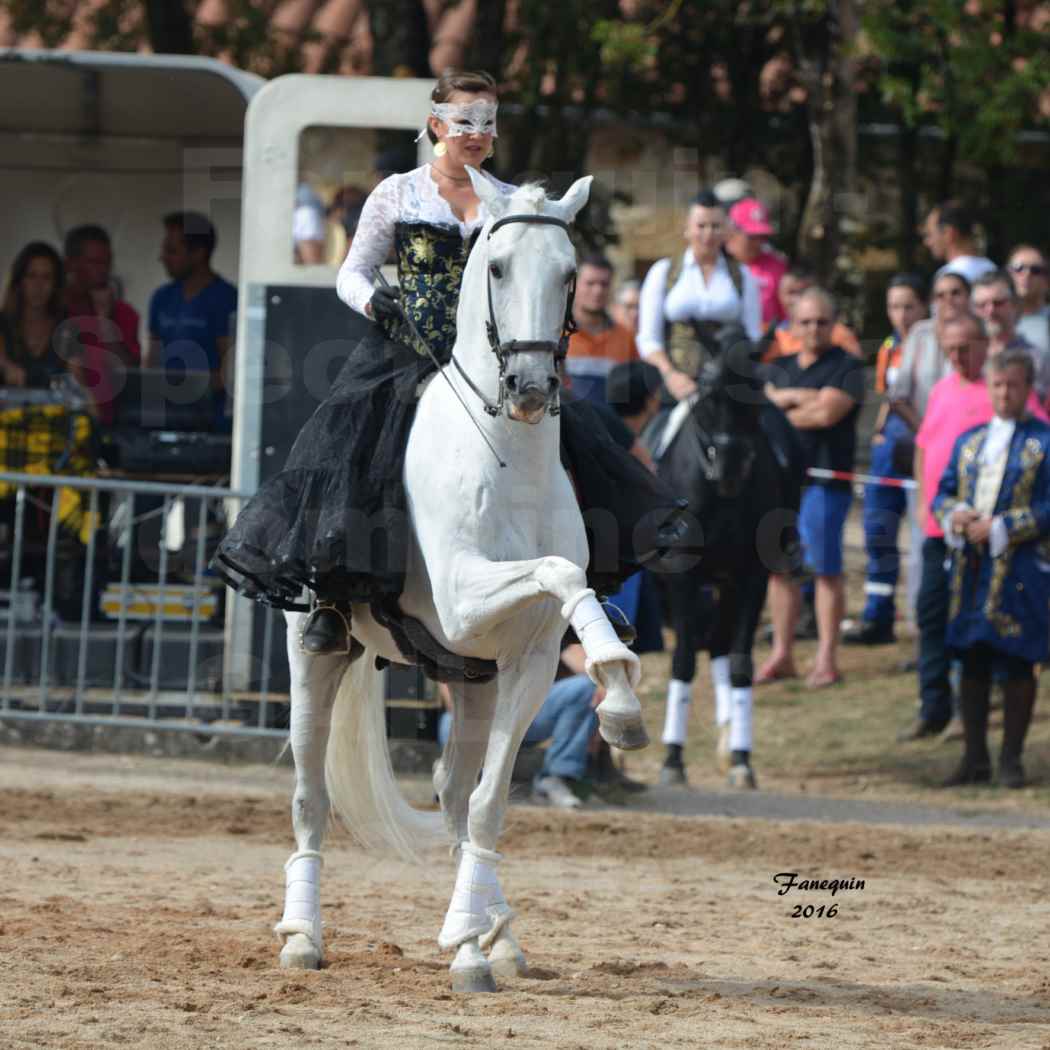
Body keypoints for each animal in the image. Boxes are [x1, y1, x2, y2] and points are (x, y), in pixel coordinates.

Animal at [273, 172, 646, 991]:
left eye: (569, 274)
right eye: (497, 267)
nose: (530, 385)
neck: (508, 459)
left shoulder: (525, 660)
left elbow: (487, 805)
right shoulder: (462, 598)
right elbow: (559, 570)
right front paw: (617, 682)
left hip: (472, 678)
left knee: (452, 796)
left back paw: (486, 935)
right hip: (316, 656)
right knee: (310, 797)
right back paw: (303, 937)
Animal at [646, 331, 802, 785]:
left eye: (758, 390)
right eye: (708, 391)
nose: (730, 468)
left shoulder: (751, 577)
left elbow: (740, 664)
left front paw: (741, 759)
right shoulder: (681, 575)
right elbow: (682, 661)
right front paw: (672, 760)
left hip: (727, 581)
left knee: (718, 646)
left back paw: (728, 734)